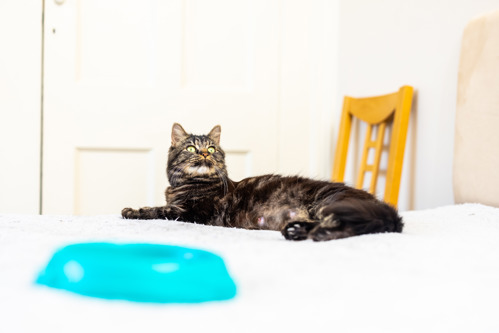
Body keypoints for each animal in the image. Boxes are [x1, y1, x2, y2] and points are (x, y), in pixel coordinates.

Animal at [122, 123, 406, 240]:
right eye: (191, 148)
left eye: (211, 148)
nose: (204, 154)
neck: (187, 185)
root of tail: (390, 211)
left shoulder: (195, 212)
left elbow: (159, 210)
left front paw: (132, 211)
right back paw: (297, 231)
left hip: (329, 204)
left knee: (349, 226)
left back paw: (316, 234)